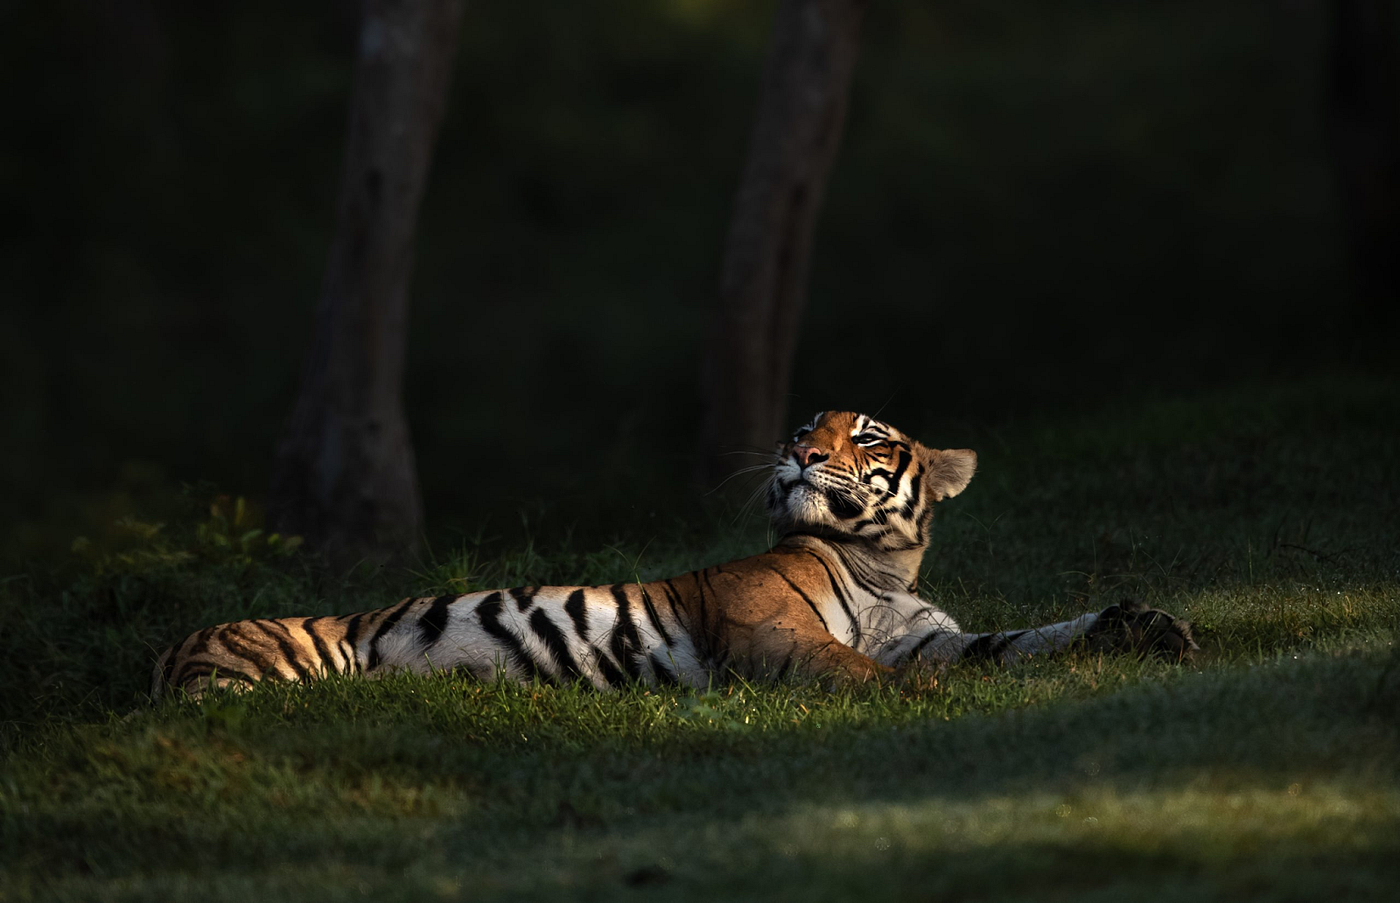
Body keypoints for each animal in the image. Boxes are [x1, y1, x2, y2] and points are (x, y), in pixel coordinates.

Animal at [156, 408, 1204, 697]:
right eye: (806, 426)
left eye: (863, 435)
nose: (799, 451)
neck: (881, 568)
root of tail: (171, 645)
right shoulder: (767, 634)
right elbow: (860, 667)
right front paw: (921, 700)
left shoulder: (935, 634)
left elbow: (1026, 639)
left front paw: (1147, 624)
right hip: (277, 668)